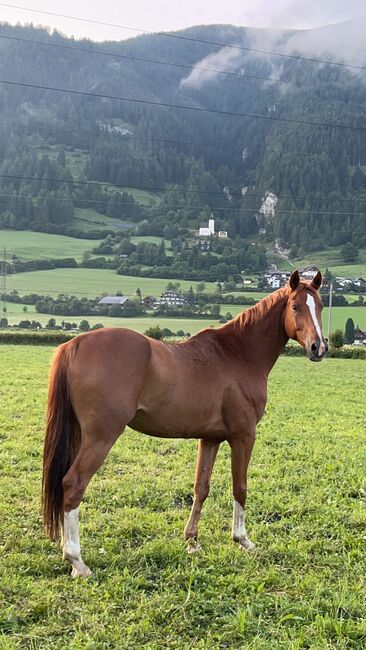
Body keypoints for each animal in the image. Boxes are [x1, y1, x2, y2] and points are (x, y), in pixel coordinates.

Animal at [42, 268, 326, 572]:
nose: (318, 347)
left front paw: (191, 541)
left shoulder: (210, 438)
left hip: (79, 435)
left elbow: (201, 487)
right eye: (295, 306)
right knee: (74, 484)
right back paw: (77, 560)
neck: (237, 354)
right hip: (101, 437)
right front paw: (242, 539)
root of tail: (75, 343)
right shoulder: (243, 436)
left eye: (320, 306)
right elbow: (240, 487)